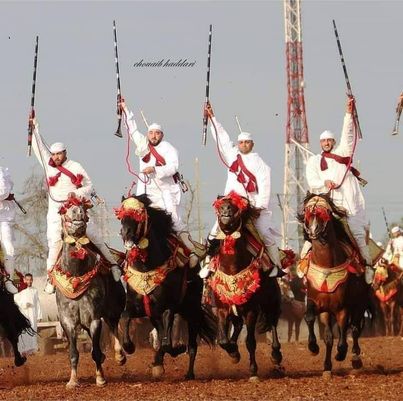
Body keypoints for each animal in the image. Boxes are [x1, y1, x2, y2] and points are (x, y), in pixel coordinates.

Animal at [50, 195, 126, 388]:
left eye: (82, 207)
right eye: (66, 210)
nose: (78, 211)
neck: (76, 275)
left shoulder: (94, 319)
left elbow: (96, 351)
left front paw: (100, 378)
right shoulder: (67, 321)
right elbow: (73, 353)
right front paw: (72, 381)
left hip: (113, 310)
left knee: (114, 327)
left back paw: (119, 355)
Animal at [116, 194, 216, 380]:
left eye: (139, 214)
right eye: (121, 215)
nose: (126, 233)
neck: (146, 267)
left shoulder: (168, 308)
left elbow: (167, 342)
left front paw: (177, 348)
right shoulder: (139, 307)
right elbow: (125, 317)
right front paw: (128, 347)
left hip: (191, 311)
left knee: (191, 345)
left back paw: (189, 372)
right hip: (155, 315)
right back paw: (158, 363)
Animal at [205, 191, 283, 380]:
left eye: (236, 206)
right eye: (221, 204)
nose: (225, 209)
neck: (233, 268)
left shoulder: (251, 310)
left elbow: (250, 341)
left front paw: (253, 371)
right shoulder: (222, 308)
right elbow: (223, 340)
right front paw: (233, 353)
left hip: (271, 303)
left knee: (273, 323)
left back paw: (276, 355)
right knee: (238, 326)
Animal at [298, 192, 371, 377]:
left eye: (325, 212)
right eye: (308, 211)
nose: (313, 230)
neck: (327, 265)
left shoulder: (342, 308)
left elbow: (343, 333)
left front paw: (341, 353)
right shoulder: (318, 304)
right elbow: (315, 323)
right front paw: (314, 350)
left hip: (359, 303)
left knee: (354, 328)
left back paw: (355, 358)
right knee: (335, 334)